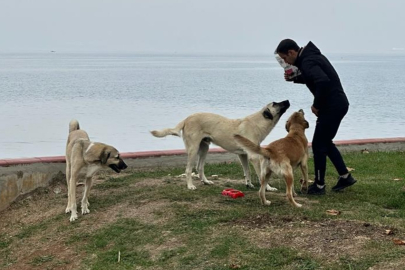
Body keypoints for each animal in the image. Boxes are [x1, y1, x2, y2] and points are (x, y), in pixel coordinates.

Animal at [150, 100, 288, 191]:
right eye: (275, 104)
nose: (287, 100)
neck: (258, 122)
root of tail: (187, 118)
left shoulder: (243, 155)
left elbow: (247, 171)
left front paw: (248, 184)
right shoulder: (254, 157)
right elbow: (261, 176)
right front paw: (268, 188)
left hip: (204, 148)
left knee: (200, 167)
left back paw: (206, 182)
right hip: (193, 149)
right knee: (189, 170)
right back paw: (190, 186)